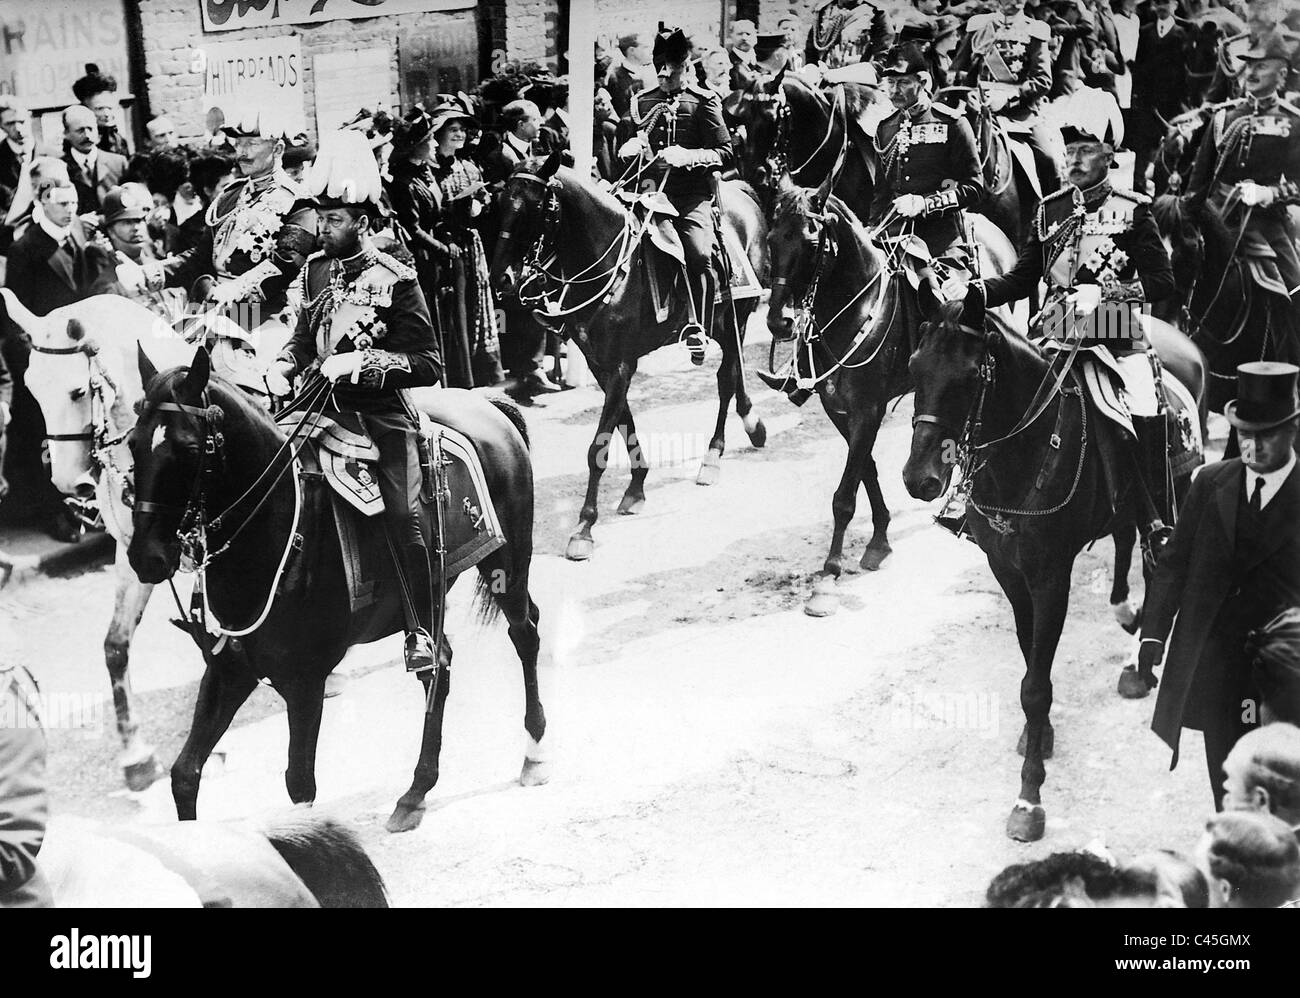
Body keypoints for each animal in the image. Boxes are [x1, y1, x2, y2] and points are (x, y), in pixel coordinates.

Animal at [124, 353, 546, 831]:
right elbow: (184, 774)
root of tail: (486, 404)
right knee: (439, 665)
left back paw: (532, 754)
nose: (146, 557)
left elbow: (299, 785)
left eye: (190, 450)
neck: (279, 526)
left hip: (506, 563)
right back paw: (416, 792)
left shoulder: (304, 682)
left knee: (523, 633)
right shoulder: (231, 671)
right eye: (133, 445)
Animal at [491, 152, 764, 566]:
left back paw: (713, 457)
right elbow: (624, 422)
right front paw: (636, 487)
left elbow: (598, 447)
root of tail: (740, 192)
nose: (500, 278)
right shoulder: (603, 364)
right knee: (734, 377)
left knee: (727, 379)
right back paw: (752, 424)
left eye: (536, 207)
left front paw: (583, 528)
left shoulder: (621, 365)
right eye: (501, 203)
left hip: (736, 319)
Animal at [899, 304, 1201, 842]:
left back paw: (1139, 664)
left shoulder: (1051, 577)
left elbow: (1035, 688)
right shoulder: (1009, 573)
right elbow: (1030, 664)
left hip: (1175, 494)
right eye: (914, 368)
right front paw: (1037, 737)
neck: (1025, 453)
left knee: (1159, 565)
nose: (920, 479)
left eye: (969, 376)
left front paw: (1029, 798)